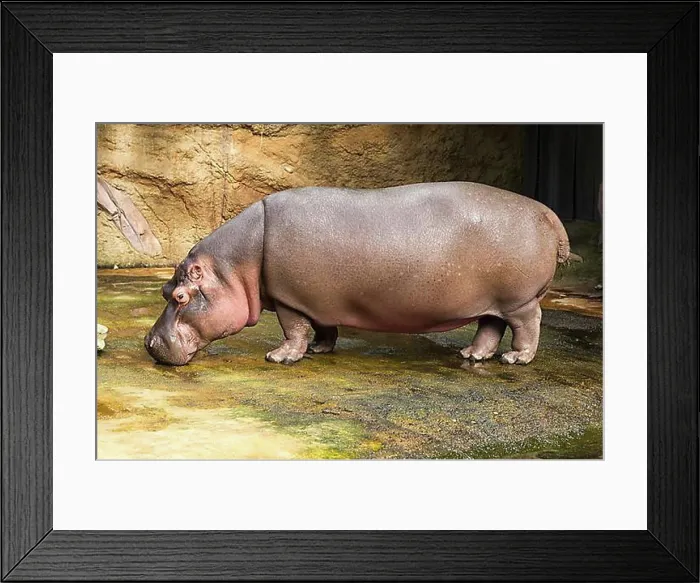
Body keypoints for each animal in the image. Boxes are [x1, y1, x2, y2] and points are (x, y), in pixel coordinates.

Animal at [145, 182, 572, 367]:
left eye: (181, 296)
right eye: (165, 289)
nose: (149, 343)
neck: (235, 265)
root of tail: (548, 212)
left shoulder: (287, 298)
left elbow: (293, 329)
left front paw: (279, 357)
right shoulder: (314, 300)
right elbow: (322, 327)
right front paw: (319, 350)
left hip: (518, 299)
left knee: (528, 324)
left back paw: (515, 360)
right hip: (493, 301)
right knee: (489, 326)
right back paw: (471, 355)